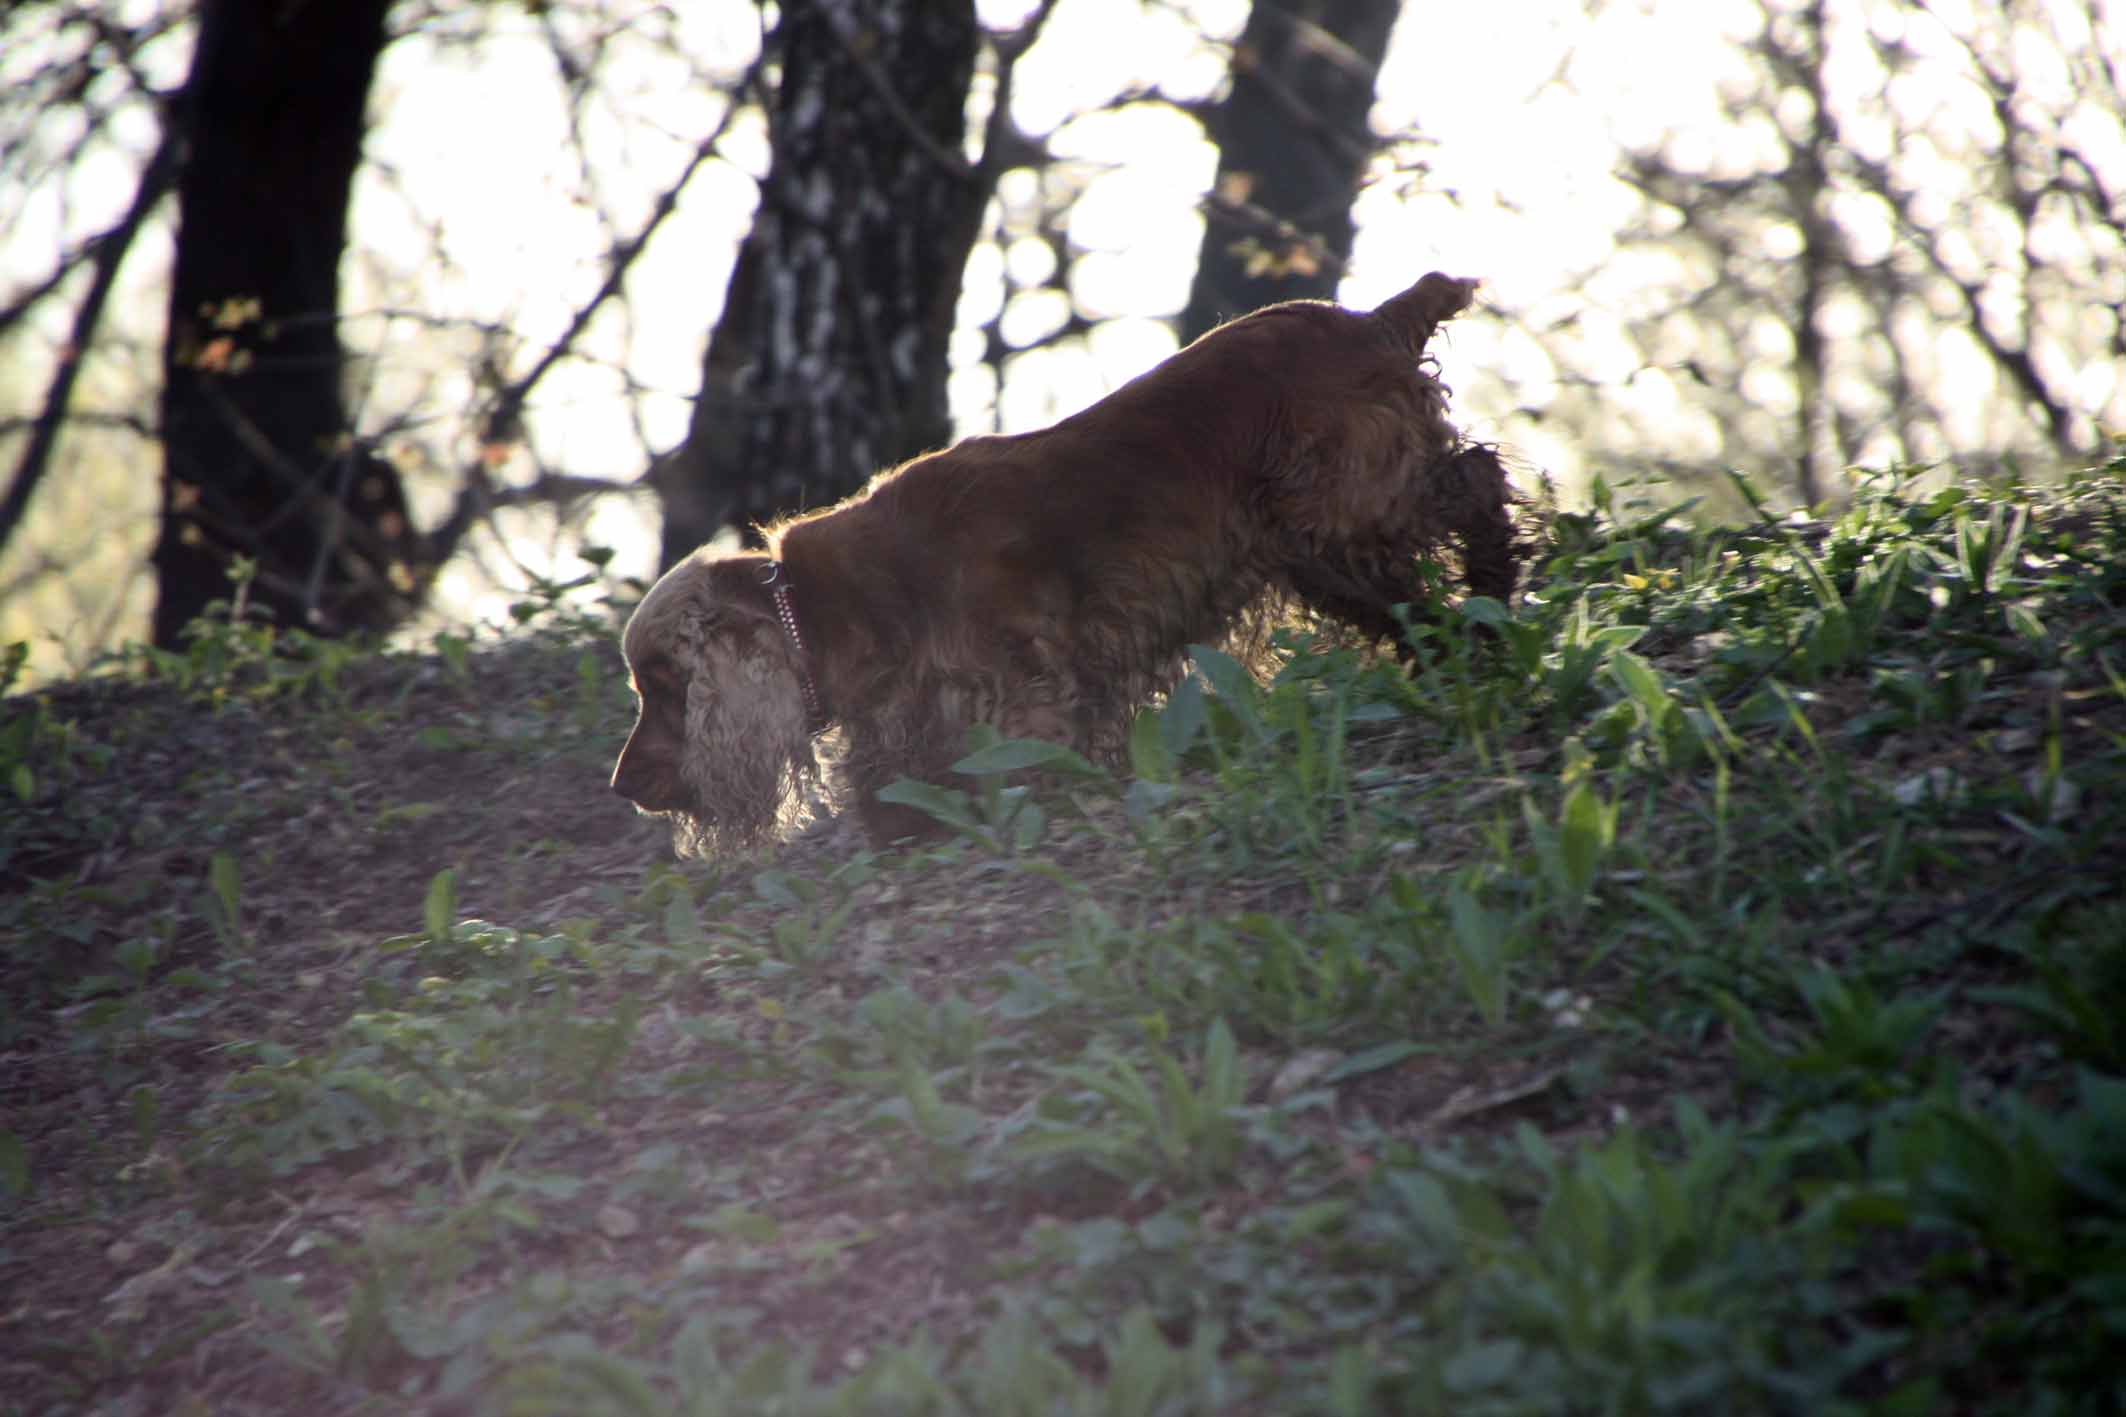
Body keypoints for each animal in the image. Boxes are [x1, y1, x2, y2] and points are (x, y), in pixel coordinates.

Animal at [612, 274, 1513, 854]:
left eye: (665, 686)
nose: (621, 787)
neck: (827, 605)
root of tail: (1373, 319)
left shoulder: (1028, 690)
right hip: (1326, 551)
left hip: (1348, 521)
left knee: (1478, 485)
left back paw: (1493, 601)